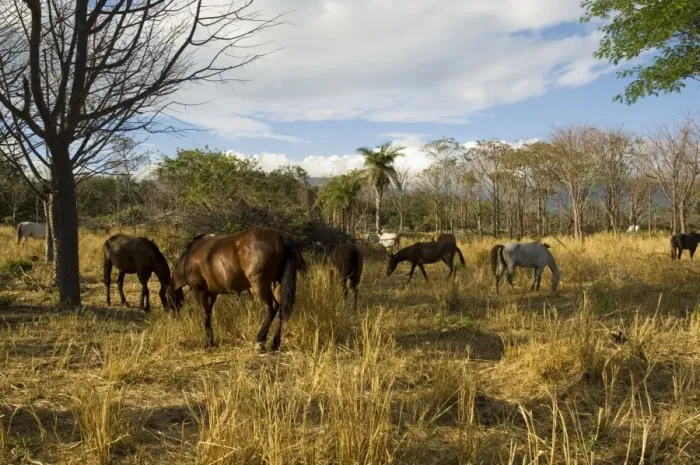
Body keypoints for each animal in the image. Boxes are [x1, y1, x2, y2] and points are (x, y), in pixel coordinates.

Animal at [167, 227, 304, 352]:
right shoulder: (212, 294)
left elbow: (205, 315)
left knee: (272, 307)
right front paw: (211, 341)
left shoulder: (200, 291)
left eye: (167, 299)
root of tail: (281, 238)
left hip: (260, 285)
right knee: (281, 310)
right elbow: (209, 314)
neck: (190, 256)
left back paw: (260, 341)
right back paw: (275, 344)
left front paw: (208, 344)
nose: (173, 318)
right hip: (278, 284)